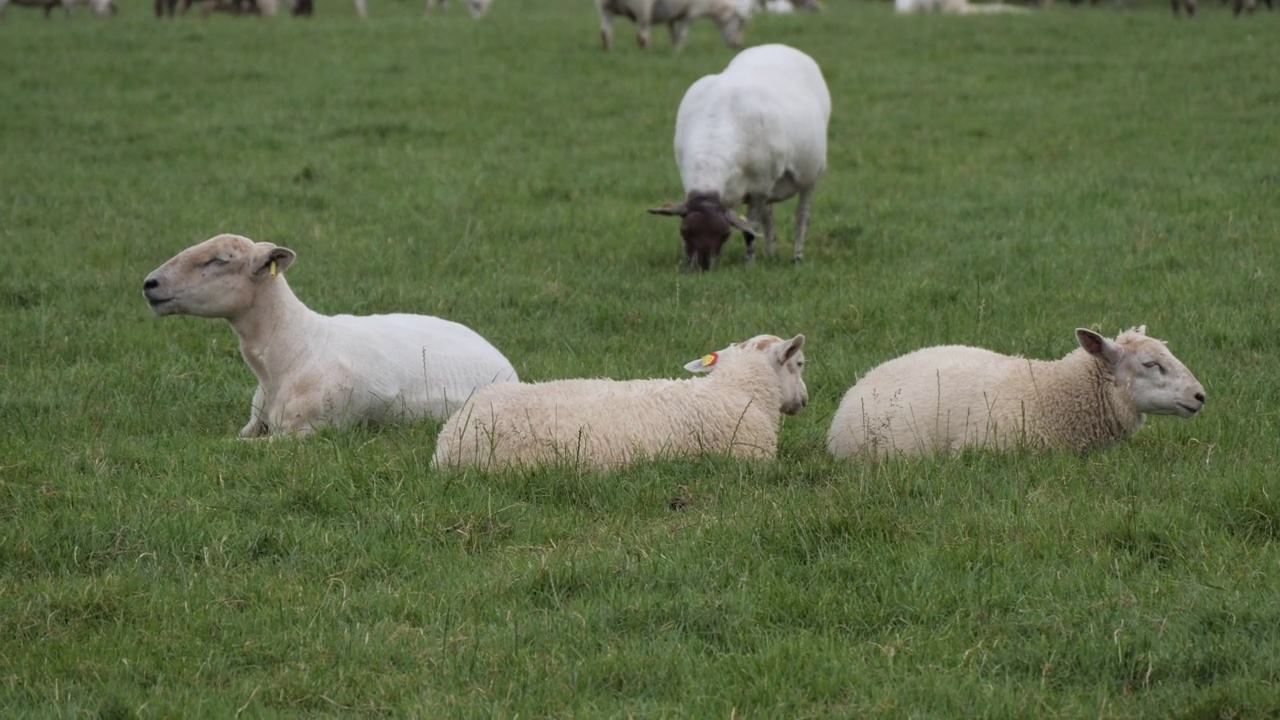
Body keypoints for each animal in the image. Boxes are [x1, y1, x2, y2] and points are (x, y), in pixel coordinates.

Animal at [596, 0, 752, 52]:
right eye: (740, 23)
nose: (739, 45)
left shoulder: (671, 15)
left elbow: (673, 34)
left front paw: (673, 51)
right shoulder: (690, 13)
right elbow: (682, 35)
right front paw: (678, 52)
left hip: (604, 7)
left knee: (605, 33)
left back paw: (609, 52)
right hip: (642, 8)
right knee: (642, 37)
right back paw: (645, 53)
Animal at [650, 43, 829, 270]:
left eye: (725, 235)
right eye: (684, 231)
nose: (702, 268)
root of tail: (780, 46)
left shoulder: (759, 189)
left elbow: (750, 230)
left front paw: (749, 264)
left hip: (809, 175)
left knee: (801, 217)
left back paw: (797, 256)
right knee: (769, 218)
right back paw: (771, 253)